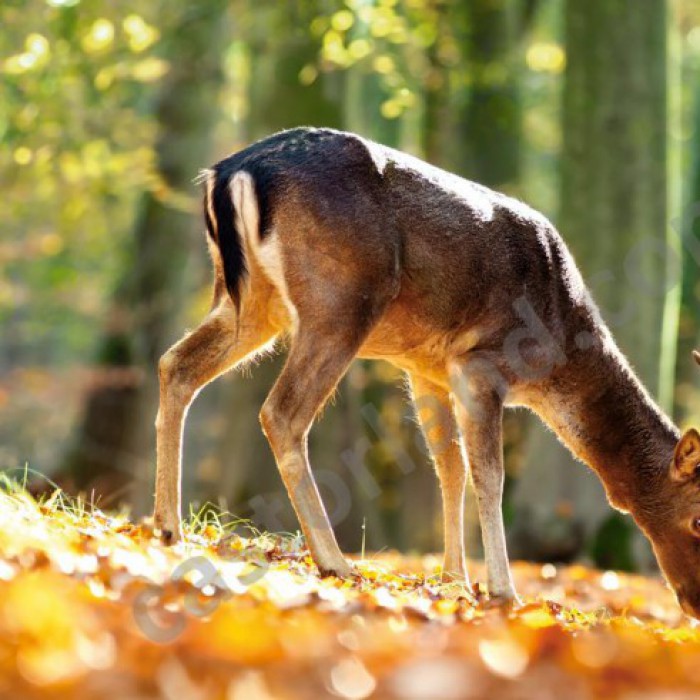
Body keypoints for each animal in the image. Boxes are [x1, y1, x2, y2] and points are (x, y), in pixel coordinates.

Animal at [154, 126, 700, 612]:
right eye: (698, 520)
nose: (693, 604)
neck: (558, 356)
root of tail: (230, 172)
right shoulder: (481, 363)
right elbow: (489, 476)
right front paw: (503, 591)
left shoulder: (425, 368)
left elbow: (449, 467)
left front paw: (454, 579)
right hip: (339, 301)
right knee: (282, 412)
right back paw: (334, 560)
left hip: (248, 301)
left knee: (175, 364)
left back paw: (167, 525)